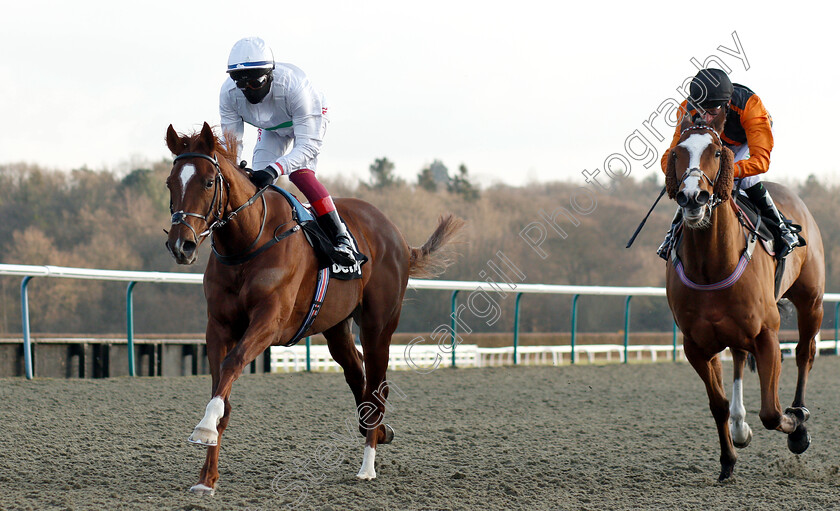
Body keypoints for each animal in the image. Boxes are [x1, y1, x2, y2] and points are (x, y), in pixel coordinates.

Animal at [166, 124, 466, 496]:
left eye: (209, 182)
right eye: (170, 183)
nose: (181, 245)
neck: (248, 242)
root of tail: (395, 234)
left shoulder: (270, 321)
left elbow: (233, 364)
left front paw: (204, 427)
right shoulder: (218, 326)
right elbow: (221, 386)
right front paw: (206, 478)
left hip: (379, 324)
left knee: (376, 383)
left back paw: (368, 465)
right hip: (336, 327)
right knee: (357, 375)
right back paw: (378, 431)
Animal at [668, 110, 828, 482]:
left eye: (716, 152)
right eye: (677, 153)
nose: (692, 197)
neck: (712, 266)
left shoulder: (767, 334)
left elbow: (771, 412)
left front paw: (795, 424)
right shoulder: (695, 345)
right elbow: (718, 404)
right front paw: (728, 460)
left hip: (811, 300)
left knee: (805, 353)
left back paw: (799, 418)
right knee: (740, 359)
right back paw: (740, 429)